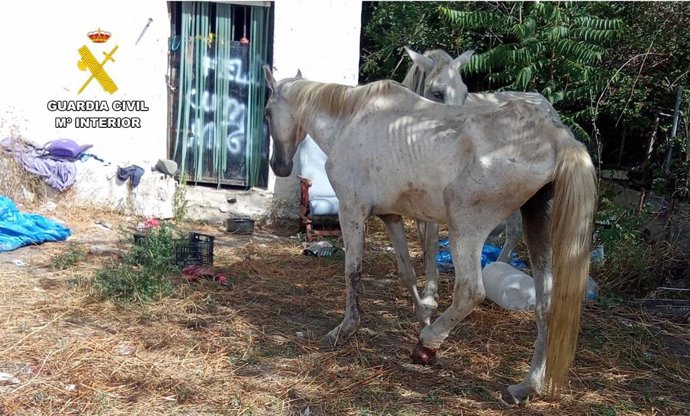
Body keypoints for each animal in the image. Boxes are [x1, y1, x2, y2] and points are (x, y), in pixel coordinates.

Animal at [262, 66, 597, 402]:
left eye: (266, 112)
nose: (279, 166)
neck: (352, 117)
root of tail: (555, 138)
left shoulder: (352, 210)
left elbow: (353, 271)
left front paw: (345, 329)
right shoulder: (391, 215)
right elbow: (406, 271)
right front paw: (422, 312)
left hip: (465, 230)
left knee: (470, 292)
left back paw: (427, 344)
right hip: (538, 229)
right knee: (546, 305)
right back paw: (527, 386)